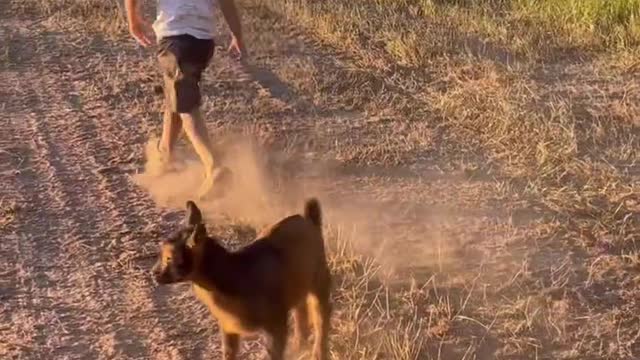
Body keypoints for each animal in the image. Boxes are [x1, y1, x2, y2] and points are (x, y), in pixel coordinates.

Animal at [150, 200, 330, 360]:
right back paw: (298, 346)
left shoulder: (275, 324)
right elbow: (228, 354)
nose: (154, 273)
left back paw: (317, 353)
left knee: (321, 320)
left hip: (319, 280)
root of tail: (307, 219)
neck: (234, 276)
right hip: (298, 285)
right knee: (300, 310)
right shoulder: (228, 328)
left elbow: (273, 355)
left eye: (169, 258)